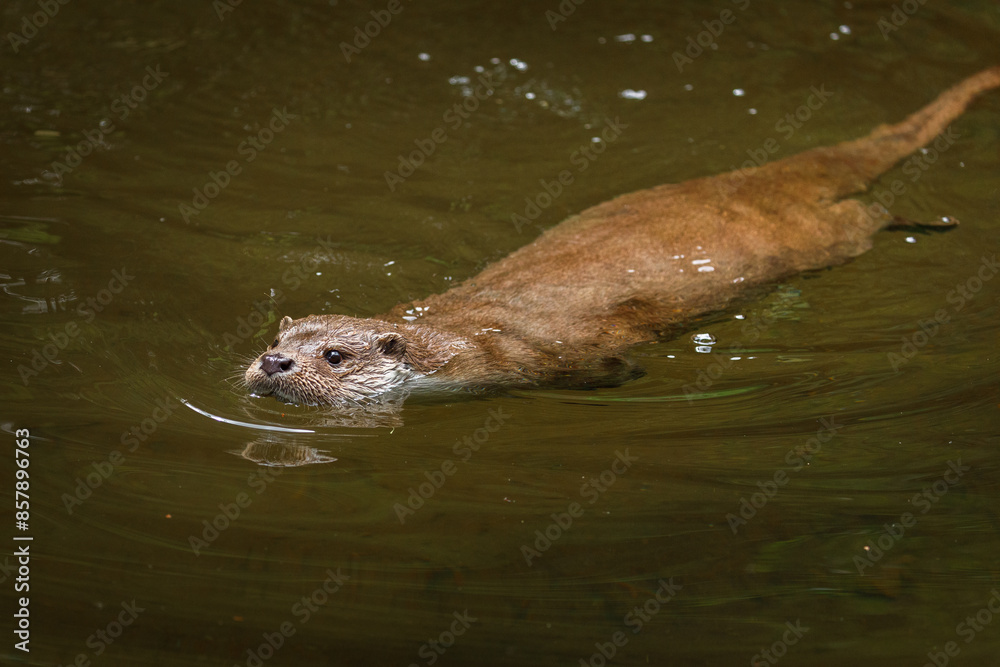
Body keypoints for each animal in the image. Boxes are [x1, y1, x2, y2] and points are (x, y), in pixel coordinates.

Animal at [244, 70, 1000, 410]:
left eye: (334, 356)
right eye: (275, 338)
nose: (276, 364)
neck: (455, 342)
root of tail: (750, 182)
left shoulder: (541, 358)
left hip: (820, 236)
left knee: (869, 217)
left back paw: (930, 222)